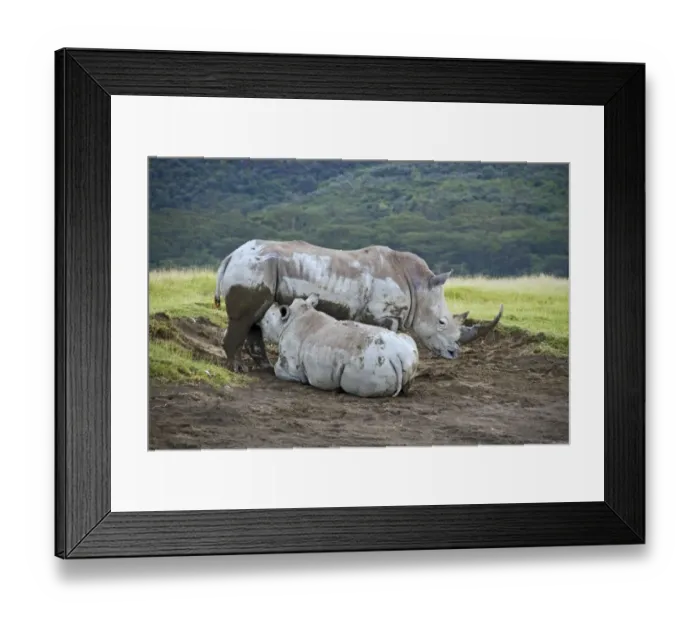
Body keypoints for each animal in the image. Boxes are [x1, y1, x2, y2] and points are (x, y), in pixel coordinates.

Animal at [214, 239, 503, 372]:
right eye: (442, 322)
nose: (455, 353)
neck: (419, 286)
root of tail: (231, 255)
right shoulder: (386, 314)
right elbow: (388, 337)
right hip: (253, 268)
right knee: (245, 318)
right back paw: (237, 369)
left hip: (258, 268)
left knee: (257, 315)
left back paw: (262, 367)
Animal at [259, 294, 420, 398]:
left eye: (266, 322)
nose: (259, 323)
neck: (288, 320)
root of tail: (398, 356)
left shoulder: (292, 364)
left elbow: (278, 369)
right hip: (406, 351)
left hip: (370, 361)